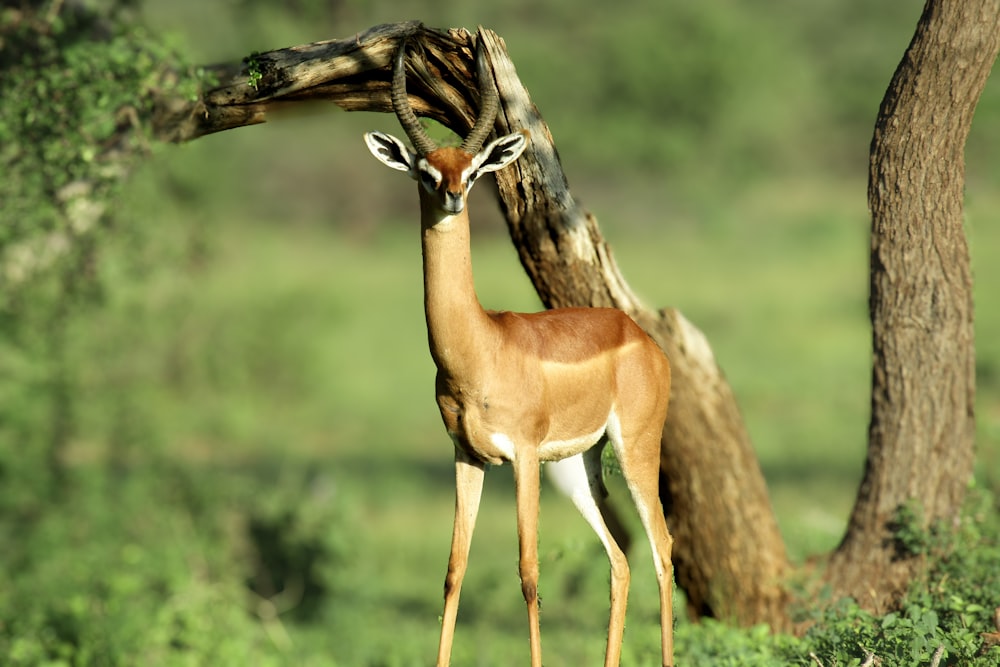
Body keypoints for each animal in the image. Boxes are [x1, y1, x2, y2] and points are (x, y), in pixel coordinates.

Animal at [364, 35, 676, 667]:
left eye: (473, 168)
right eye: (425, 170)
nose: (454, 196)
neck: (478, 349)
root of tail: (637, 335)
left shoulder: (524, 457)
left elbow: (529, 573)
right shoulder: (467, 456)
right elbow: (453, 572)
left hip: (633, 451)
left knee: (662, 549)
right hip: (579, 469)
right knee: (620, 560)